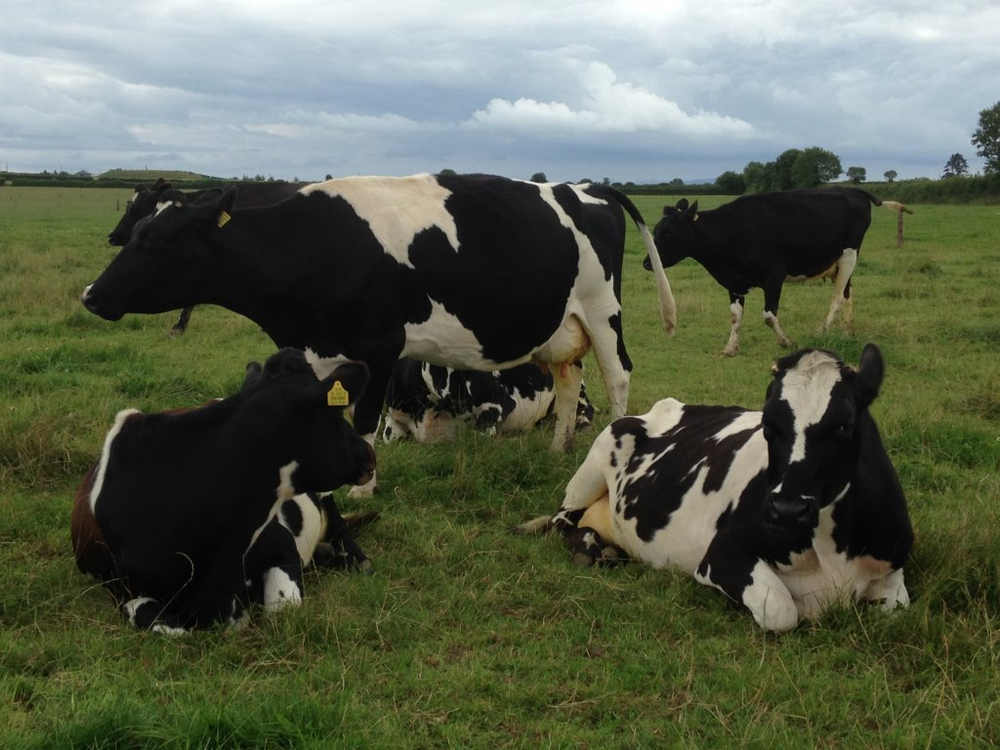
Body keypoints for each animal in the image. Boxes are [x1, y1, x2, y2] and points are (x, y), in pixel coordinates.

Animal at [73, 347, 376, 633]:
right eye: (335, 412)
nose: (369, 454)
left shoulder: (282, 545)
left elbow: (283, 609)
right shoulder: (122, 591)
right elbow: (160, 623)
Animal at [519, 343, 912, 632]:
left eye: (845, 425)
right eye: (768, 424)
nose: (786, 510)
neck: (834, 553)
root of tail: (669, 405)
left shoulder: (893, 574)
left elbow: (896, 606)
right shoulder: (721, 555)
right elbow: (781, 610)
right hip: (598, 457)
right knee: (562, 521)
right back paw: (591, 548)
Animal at [645, 188, 901, 355]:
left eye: (668, 233)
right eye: (655, 231)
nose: (647, 263)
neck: (730, 231)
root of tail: (853, 189)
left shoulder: (774, 276)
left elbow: (768, 315)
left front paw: (786, 342)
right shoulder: (735, 282)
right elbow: (735, 316)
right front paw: (730, 347)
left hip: (849, 254)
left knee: (837, 297)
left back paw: (821, 331)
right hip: (841, 263)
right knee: (847, 294)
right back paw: (848, 332)